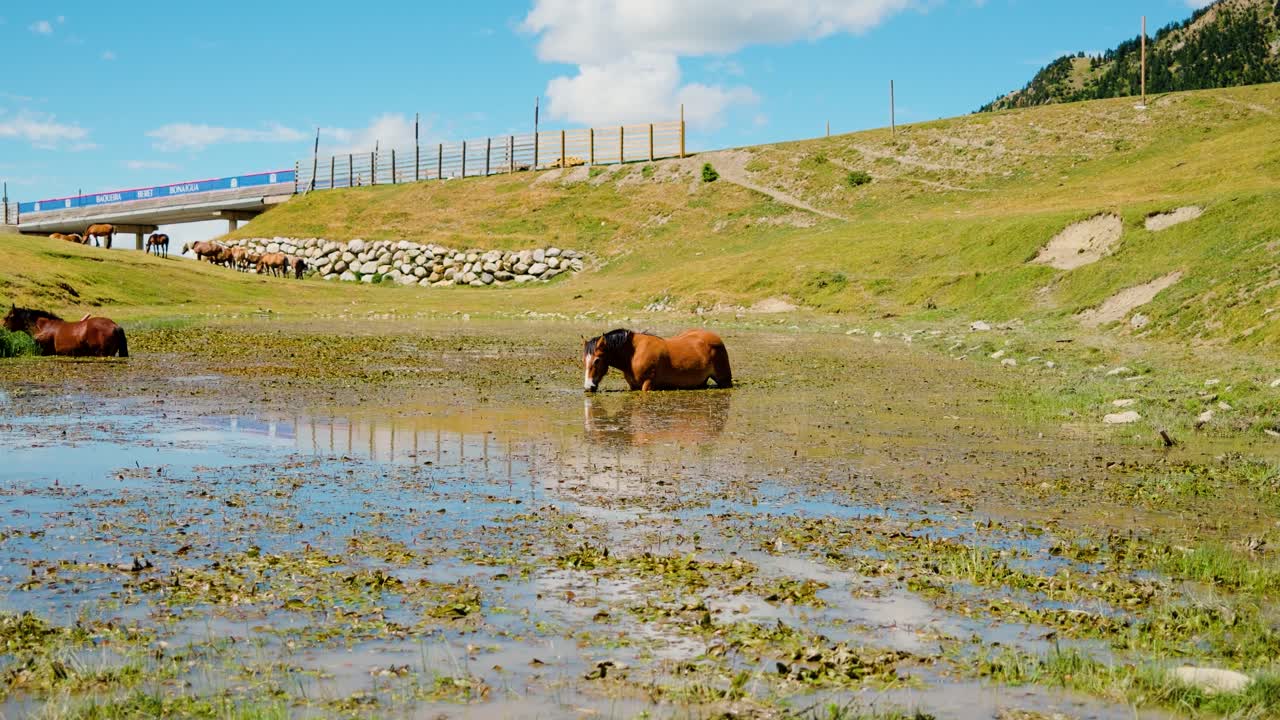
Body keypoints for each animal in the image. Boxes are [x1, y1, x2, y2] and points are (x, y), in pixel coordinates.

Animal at [582, 328, 732, 392]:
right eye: (584, 361)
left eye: (597, 360)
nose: (588, 387)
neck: (633, 354)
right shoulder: (633, 386)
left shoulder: (648, 383)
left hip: (724, 381)